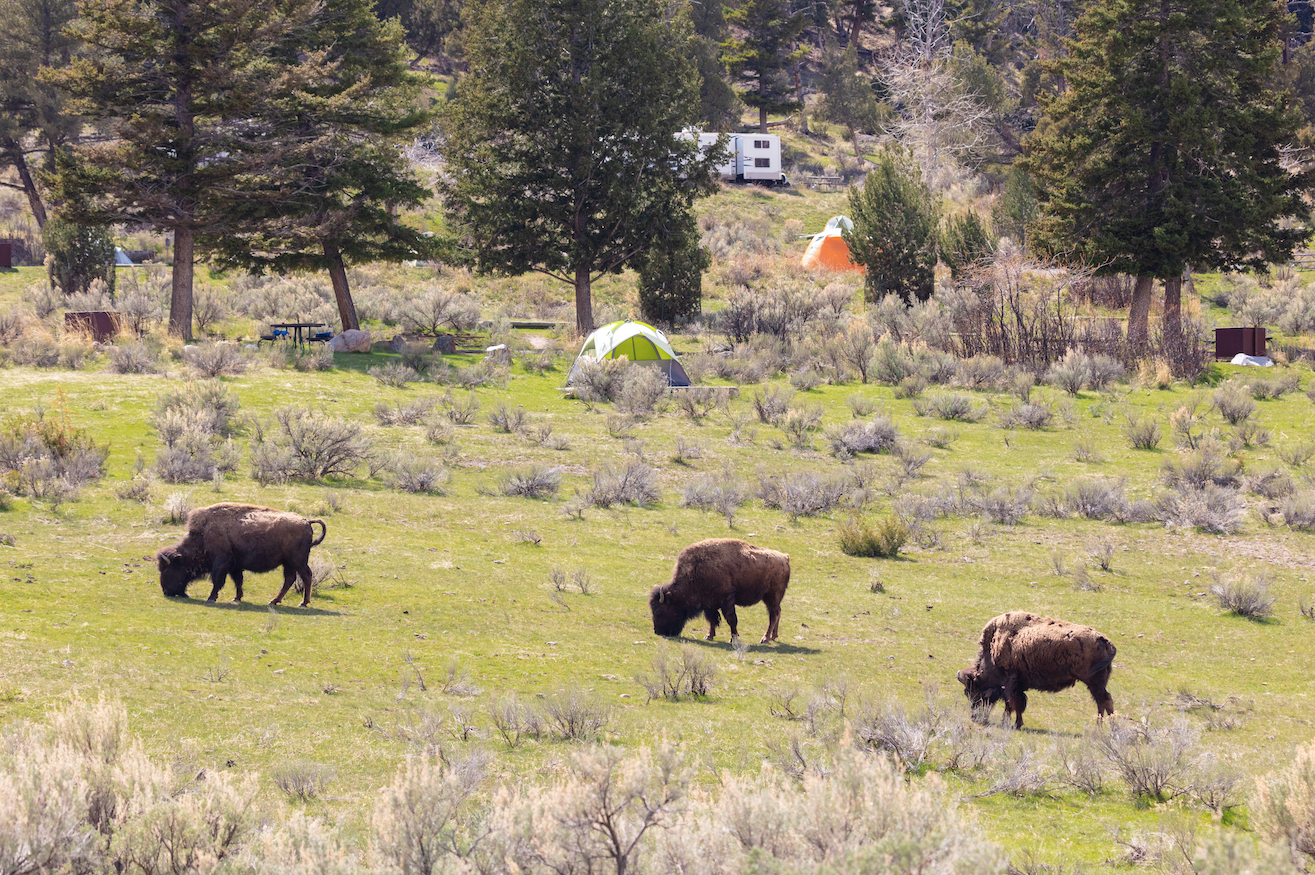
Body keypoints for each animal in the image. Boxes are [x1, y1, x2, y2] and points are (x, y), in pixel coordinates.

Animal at [155, 502, 326, 605]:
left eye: (169, 569)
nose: (166, 591)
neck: (203, 534)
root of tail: (306, 521)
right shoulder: (234, 565)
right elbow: (238, 581)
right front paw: (237, 598)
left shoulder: (222, 562)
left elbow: (218, 581)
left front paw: (211, 598)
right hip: (288, 562)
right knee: (290, 579)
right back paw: (274, 601)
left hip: (297, 561)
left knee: (306, 576)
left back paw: (303, 602)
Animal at [649, 536, 789, 644]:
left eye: (660, 610)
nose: (658, 631)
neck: (696, 571)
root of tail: (784, 557)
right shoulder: (710, 604)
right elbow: (712, 619)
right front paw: (708, 636)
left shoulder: (726, 600)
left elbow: (731, 619)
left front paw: (733, 639)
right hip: (771, 598)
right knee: (778, 612)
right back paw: (773, 636)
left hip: (772, 596)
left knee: (773, 615)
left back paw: (765, 638)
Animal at [962, 610, 1115, 726]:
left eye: (974, 691)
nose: (974, 717)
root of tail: (1105, 641)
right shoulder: (1016, 686)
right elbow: (1016, 704)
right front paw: (1015, 723)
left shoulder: (1010, 684)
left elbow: (1013, 704)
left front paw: (1012, 724)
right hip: (1098, 683)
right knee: (1103, 701)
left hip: (1094, 682)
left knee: (1103, 701)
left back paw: (1102, 727)